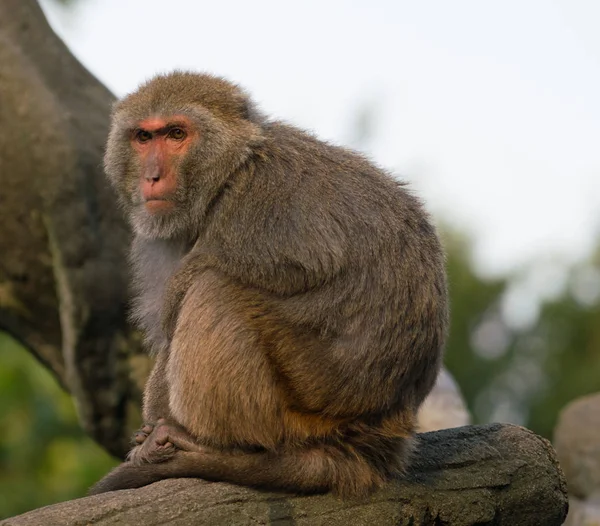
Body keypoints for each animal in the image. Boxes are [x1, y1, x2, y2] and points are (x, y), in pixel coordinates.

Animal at [88, 71, 446, 500]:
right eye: (144, 137)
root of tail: (376, 440)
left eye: (176, 133)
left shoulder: (251, 212)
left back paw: (216, 444)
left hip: (307, 403)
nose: (152, 176)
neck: (230, 174)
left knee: (213, 289)